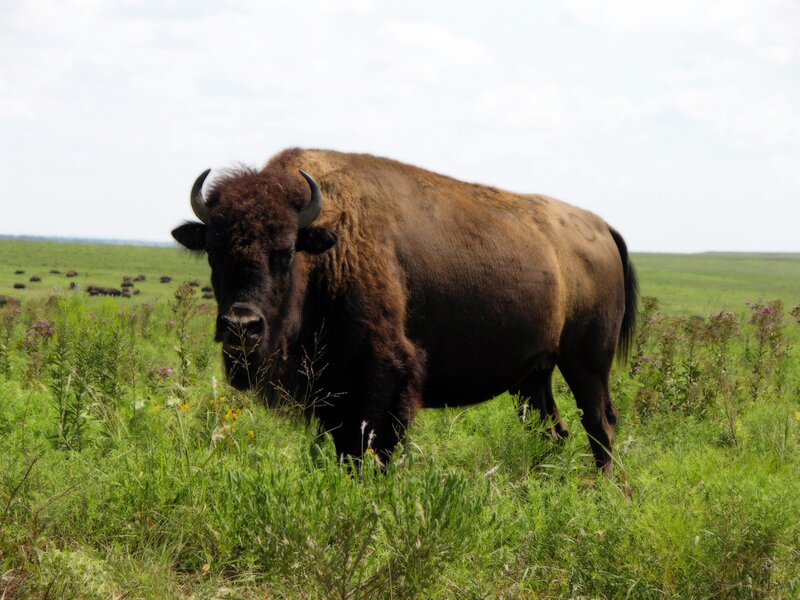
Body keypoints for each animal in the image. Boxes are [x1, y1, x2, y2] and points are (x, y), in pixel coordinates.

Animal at [172, 149, 637, 472]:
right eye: (213, 251)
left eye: (286, 252)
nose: (241, 325)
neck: (330, 246)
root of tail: (601, 226)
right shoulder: (335, 393)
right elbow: (347, 449)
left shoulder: (385, 375)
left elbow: (372, 448)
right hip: (533, 376)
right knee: (553, 430)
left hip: (587, 363)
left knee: (600, 424)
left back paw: (605, 491)